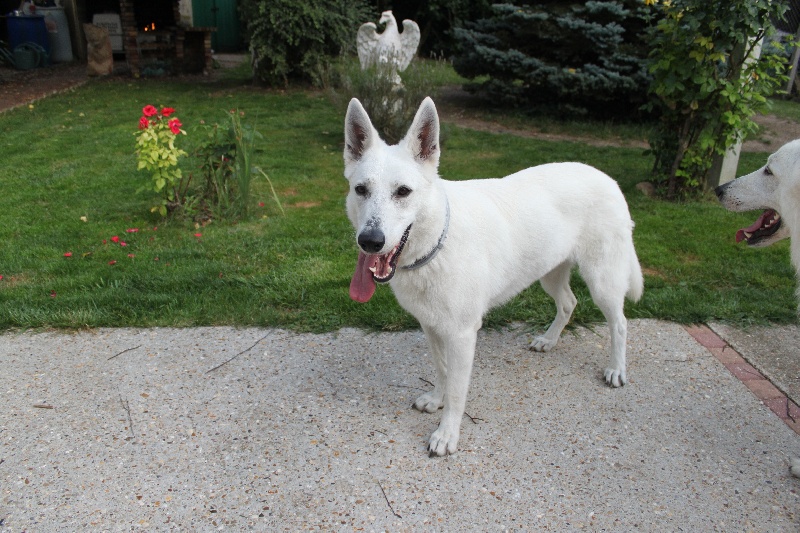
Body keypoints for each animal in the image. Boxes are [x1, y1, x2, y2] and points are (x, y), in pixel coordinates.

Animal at [344, 97, 644, 456]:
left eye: (403, 192)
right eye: (361, 189)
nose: (369, 241)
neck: (438, 243)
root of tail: (607, 178)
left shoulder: (462, 335)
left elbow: (457, 390)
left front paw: (447, 434)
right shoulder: (431, 326)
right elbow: (442, 371)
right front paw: (436, 400)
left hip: (602, 281)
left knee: (620, 323)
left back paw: (617, 369)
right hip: (549, 273)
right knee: (569, 303)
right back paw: (549, 340)